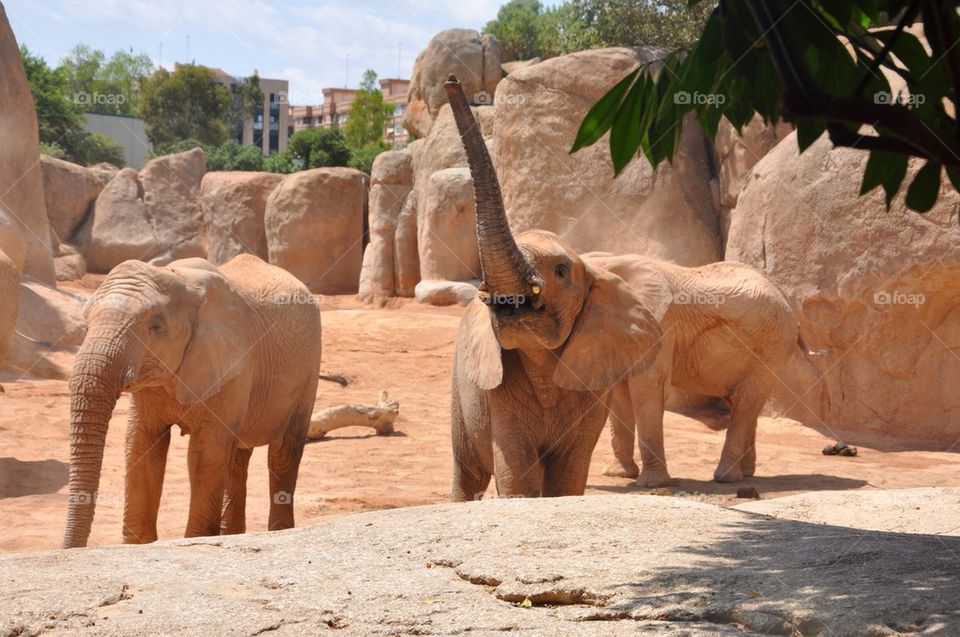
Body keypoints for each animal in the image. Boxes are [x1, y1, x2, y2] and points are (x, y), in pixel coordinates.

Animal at [62, 254, 321, 548]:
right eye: (86, 325)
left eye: (156, 326)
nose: (69, 548)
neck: (181, 278)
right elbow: (141, 444)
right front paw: (139, 545)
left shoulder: (232, 365)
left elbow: (204, 452)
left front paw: (196, 539)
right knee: (236, 457)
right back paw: (232, 534)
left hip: (308, 371)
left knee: (283, 452)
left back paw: (278, 530)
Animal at [444, 76, 664, 501]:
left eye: (561, 271)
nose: (451, 81)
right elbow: (517, 473)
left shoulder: (592, 381)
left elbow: (569, 474)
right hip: (461, 393)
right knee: (468, 472)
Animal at [583, 253, 800, 486]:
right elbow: (621, 393)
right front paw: (618, 474)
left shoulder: (661, 325)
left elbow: (649, 386)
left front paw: (651, 484)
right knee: (745, 404)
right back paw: (746, 473)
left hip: (771, 346)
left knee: (745, 402)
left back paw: (725, 478)